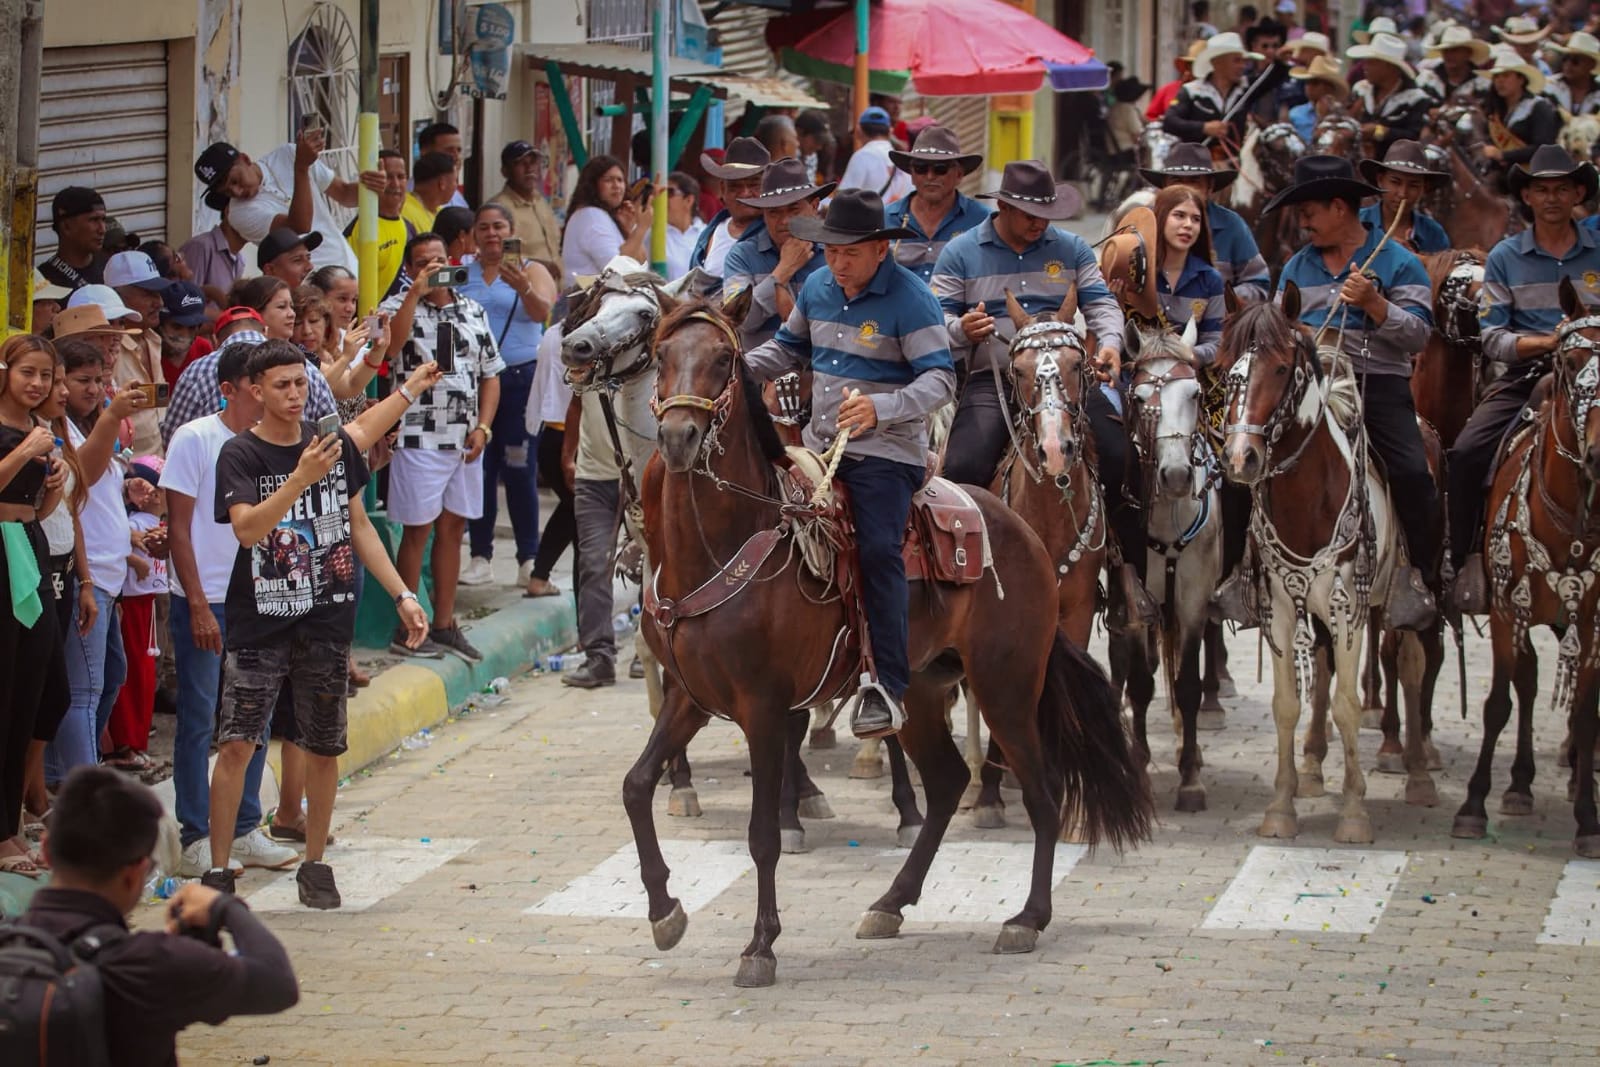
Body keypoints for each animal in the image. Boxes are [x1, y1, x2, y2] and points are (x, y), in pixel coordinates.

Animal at [627, 301, 1153, 986]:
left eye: (722, 359)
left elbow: (763, 835)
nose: (678, 437)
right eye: (662, 355)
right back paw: (891, 902)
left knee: (1045, 793)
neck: (727, 544)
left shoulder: (763, 708)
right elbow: (637, 786)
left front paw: (760, 946)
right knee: (949, 782)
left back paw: (1026, 919)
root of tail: (1025, 534)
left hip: (1007, 690)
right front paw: (664, 911)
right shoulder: (690, 698)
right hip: (925, 692)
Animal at [1218, 289, 1436, 841]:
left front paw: (1355, 814)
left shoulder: (1347, 609)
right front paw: (1281, 806)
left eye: (1280, 368)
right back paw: (1314, 767)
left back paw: (1419, 775)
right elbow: (1287, 704)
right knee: (1319, 668)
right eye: (1227, 366)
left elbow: (1348, 705)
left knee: (1410, 666)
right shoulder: (1279, 607)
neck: (1308, 497)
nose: (1241, 458)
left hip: (1400, 602)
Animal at [1452, 279, 1600, 856]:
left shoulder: (1592, 620)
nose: (1599, 454)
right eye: (1569, 360)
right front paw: (1473, 806)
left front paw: (1588, 820)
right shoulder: (1505, 609)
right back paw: (1518, 783)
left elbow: (1584, 711)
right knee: (1529, 681)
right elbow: (1498, 702)